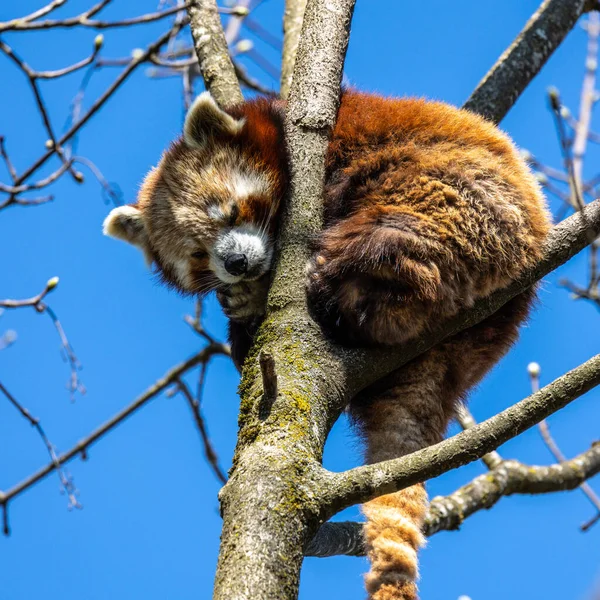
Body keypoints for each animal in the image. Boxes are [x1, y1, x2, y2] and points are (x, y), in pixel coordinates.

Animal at [102, 90, 548, 600]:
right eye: (197, 254)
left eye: (231, 211)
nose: (237, 264)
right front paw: (243, 300)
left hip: (461, 199)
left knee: (395, 225)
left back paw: (340, 269)